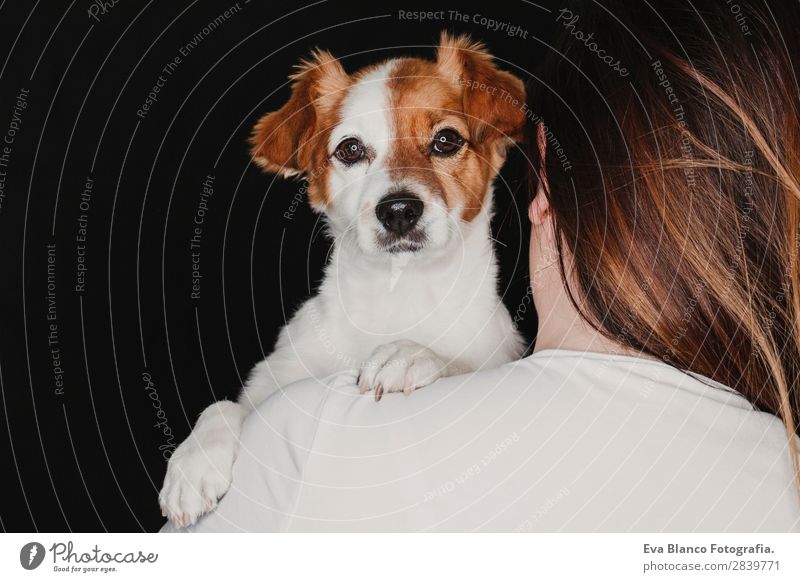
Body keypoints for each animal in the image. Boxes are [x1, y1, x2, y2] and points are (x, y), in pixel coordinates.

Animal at [159, 34, 528, 532]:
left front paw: (409, 354)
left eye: (447, 141)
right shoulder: (272, 384)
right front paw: (192, 464)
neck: (398, 293)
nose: (398, 210)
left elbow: (456, 362)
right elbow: (226, 405)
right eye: (350, 150)